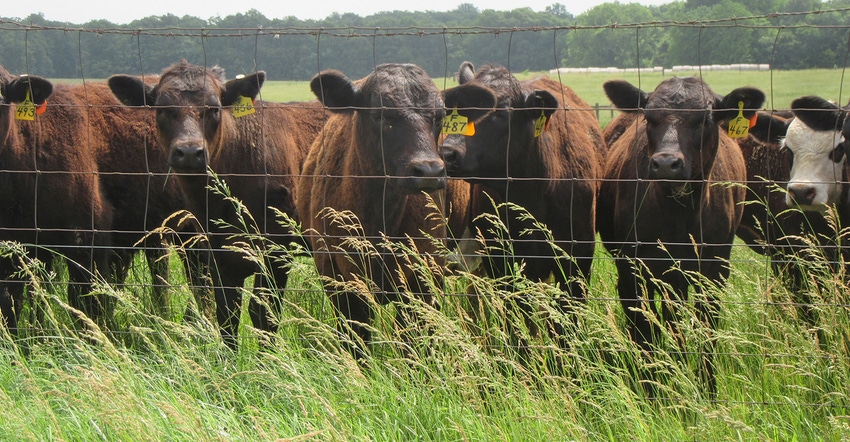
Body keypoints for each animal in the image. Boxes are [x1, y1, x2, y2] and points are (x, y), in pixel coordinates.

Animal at [107, 60, 324, 348]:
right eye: (161, 109)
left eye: (214, 109)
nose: (189, 152)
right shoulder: (218, 254)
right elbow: (226, 315)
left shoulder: (276, 250)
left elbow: (264, 315)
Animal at [298, 64, 496, 358]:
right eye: (380, 114)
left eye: (440, 116)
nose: (429, 170)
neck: (379, 220)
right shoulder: (338, 279)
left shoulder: (424, 278)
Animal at [596, 77, 760, 394]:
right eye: (649, 118)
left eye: (706, 119)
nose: (665, 163)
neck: (679, 219)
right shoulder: (636, 269)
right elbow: (645, 331)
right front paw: (650, 388)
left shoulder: (716, 270)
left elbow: (707, 331)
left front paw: (707, 389)